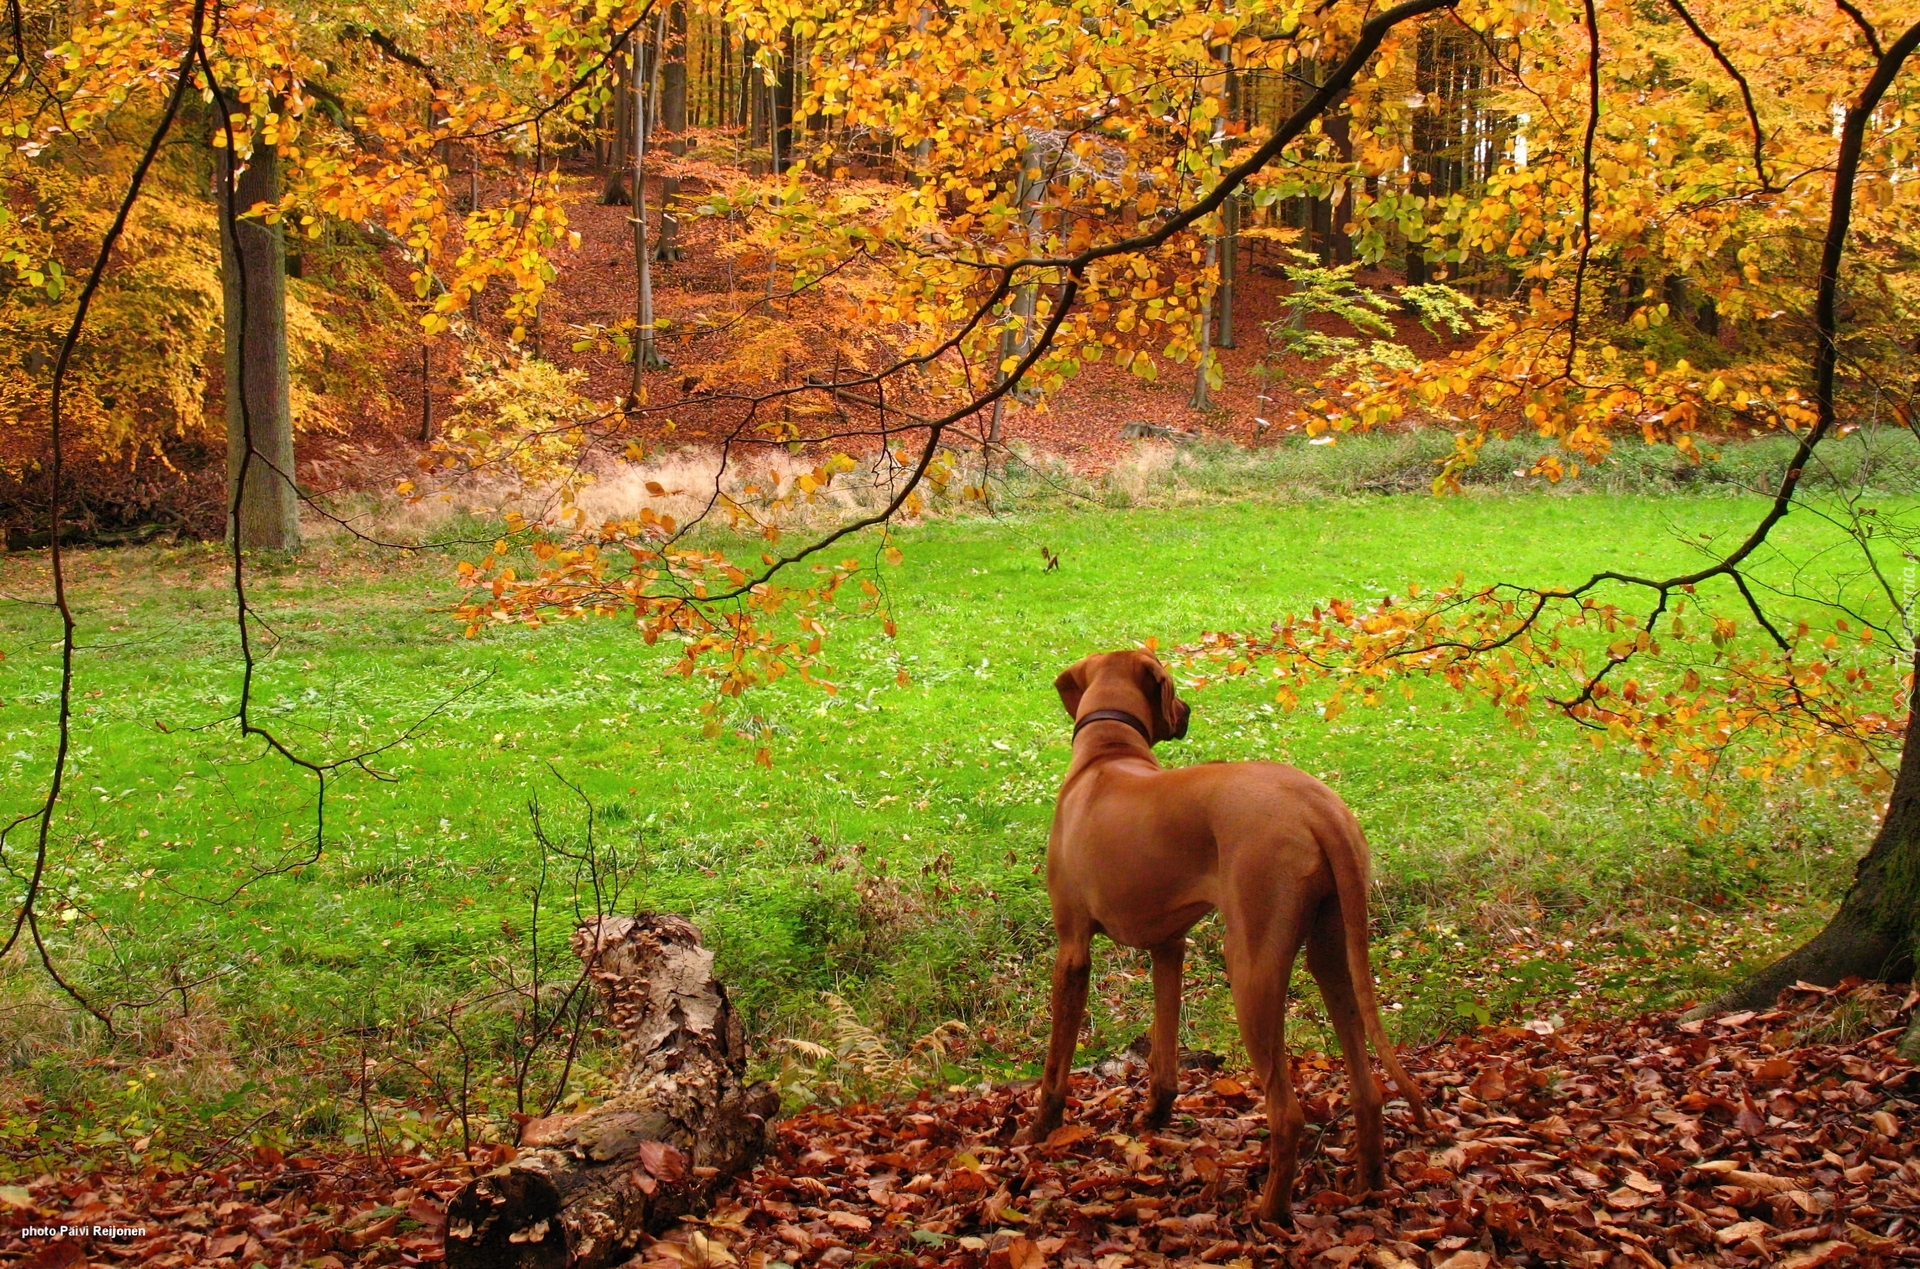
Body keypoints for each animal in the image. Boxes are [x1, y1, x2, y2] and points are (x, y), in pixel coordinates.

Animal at [1036, 652, 1428, 1221]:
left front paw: (1037, 1130)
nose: (1187, 710)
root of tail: (1318, 805)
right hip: (1336, 950)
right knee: (1367, 1086)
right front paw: (1155, 1116)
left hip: (1250, 967)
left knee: (1287, 1113)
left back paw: (1269, 1214)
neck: (1107, 755)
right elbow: (1164, 1049)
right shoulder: (1168, 946)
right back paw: (1368, 1184)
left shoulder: (1072, 949)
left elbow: (1056, 1063)